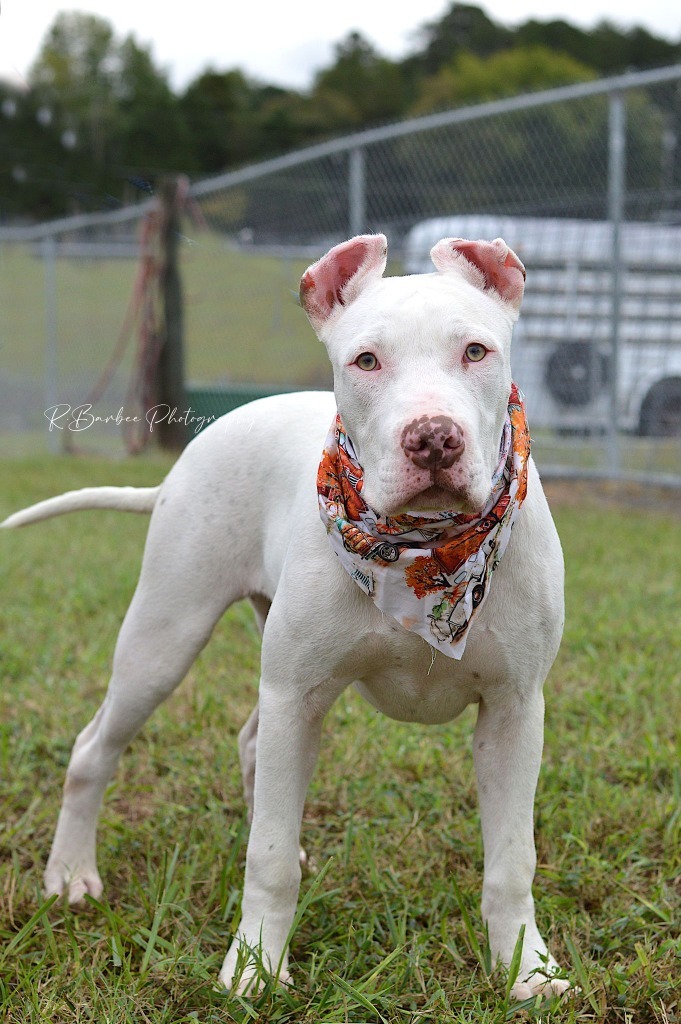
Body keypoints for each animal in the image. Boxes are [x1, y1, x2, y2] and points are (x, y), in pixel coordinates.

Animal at [2, 234, 569, 999]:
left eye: (476, 351)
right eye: (366, 361)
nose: (432, 439)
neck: (424, 554)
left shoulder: (513, 709)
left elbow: (511, 861)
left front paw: (526, 970)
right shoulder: (294, 693)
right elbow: (264, 858)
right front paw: (254, 967)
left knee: (251, 743)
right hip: (165, 640)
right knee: (96, 748)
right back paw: (69, 875)